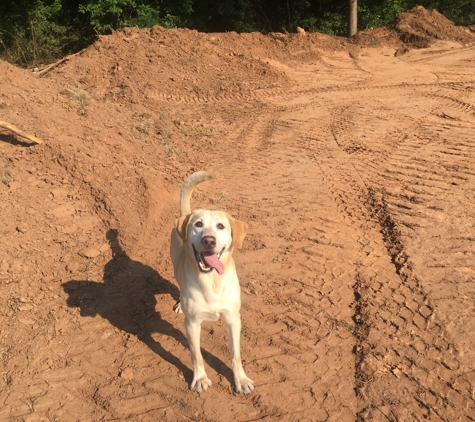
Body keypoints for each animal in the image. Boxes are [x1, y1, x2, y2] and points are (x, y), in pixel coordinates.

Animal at [170, 170, 255, 394]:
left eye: (221, 226)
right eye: (198, 224)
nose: (209, 240)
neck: (212, 281)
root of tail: (186, 213)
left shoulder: (233, 319)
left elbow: (236, 355)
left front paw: (241, 380)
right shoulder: (192, 323)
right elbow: (196, 355)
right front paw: (200, 378)